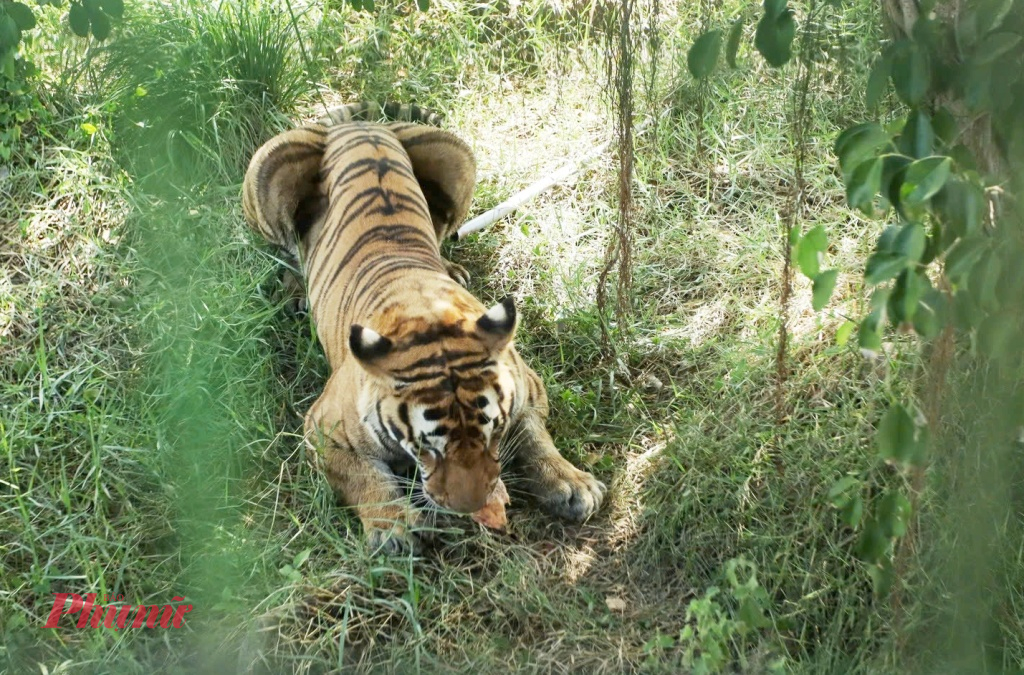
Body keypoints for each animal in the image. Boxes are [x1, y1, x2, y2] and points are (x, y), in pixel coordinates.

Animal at [242, 100, 602, 553]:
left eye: (491, 435)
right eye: (428, 449)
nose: (470, 508)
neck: (428, 315)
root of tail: (355, 127)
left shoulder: (528, 387)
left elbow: (536, 437)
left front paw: (569, 483)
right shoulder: (322, 430)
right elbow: (361, 477)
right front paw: (392, 527)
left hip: (455, 154)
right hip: (267, 169)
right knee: (285, 246)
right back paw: (293, 291)